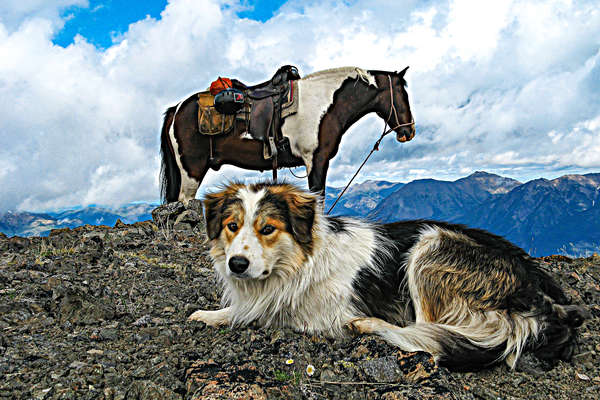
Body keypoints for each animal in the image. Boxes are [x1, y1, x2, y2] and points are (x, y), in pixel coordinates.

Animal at [158, 67, 412, 203]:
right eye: (403, 94)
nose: (409, 131)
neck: (322, 105)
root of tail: (176, 109)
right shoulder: (315, 160)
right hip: (191, 170)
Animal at [190, 183, 588, 370]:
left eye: (268, 229)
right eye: (232, 226)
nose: (237, 264)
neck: (299, 265)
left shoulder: (326, 315)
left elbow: (276, 316)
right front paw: (210, 315)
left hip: (432, 246)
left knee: (426, 336)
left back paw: (369, 326)